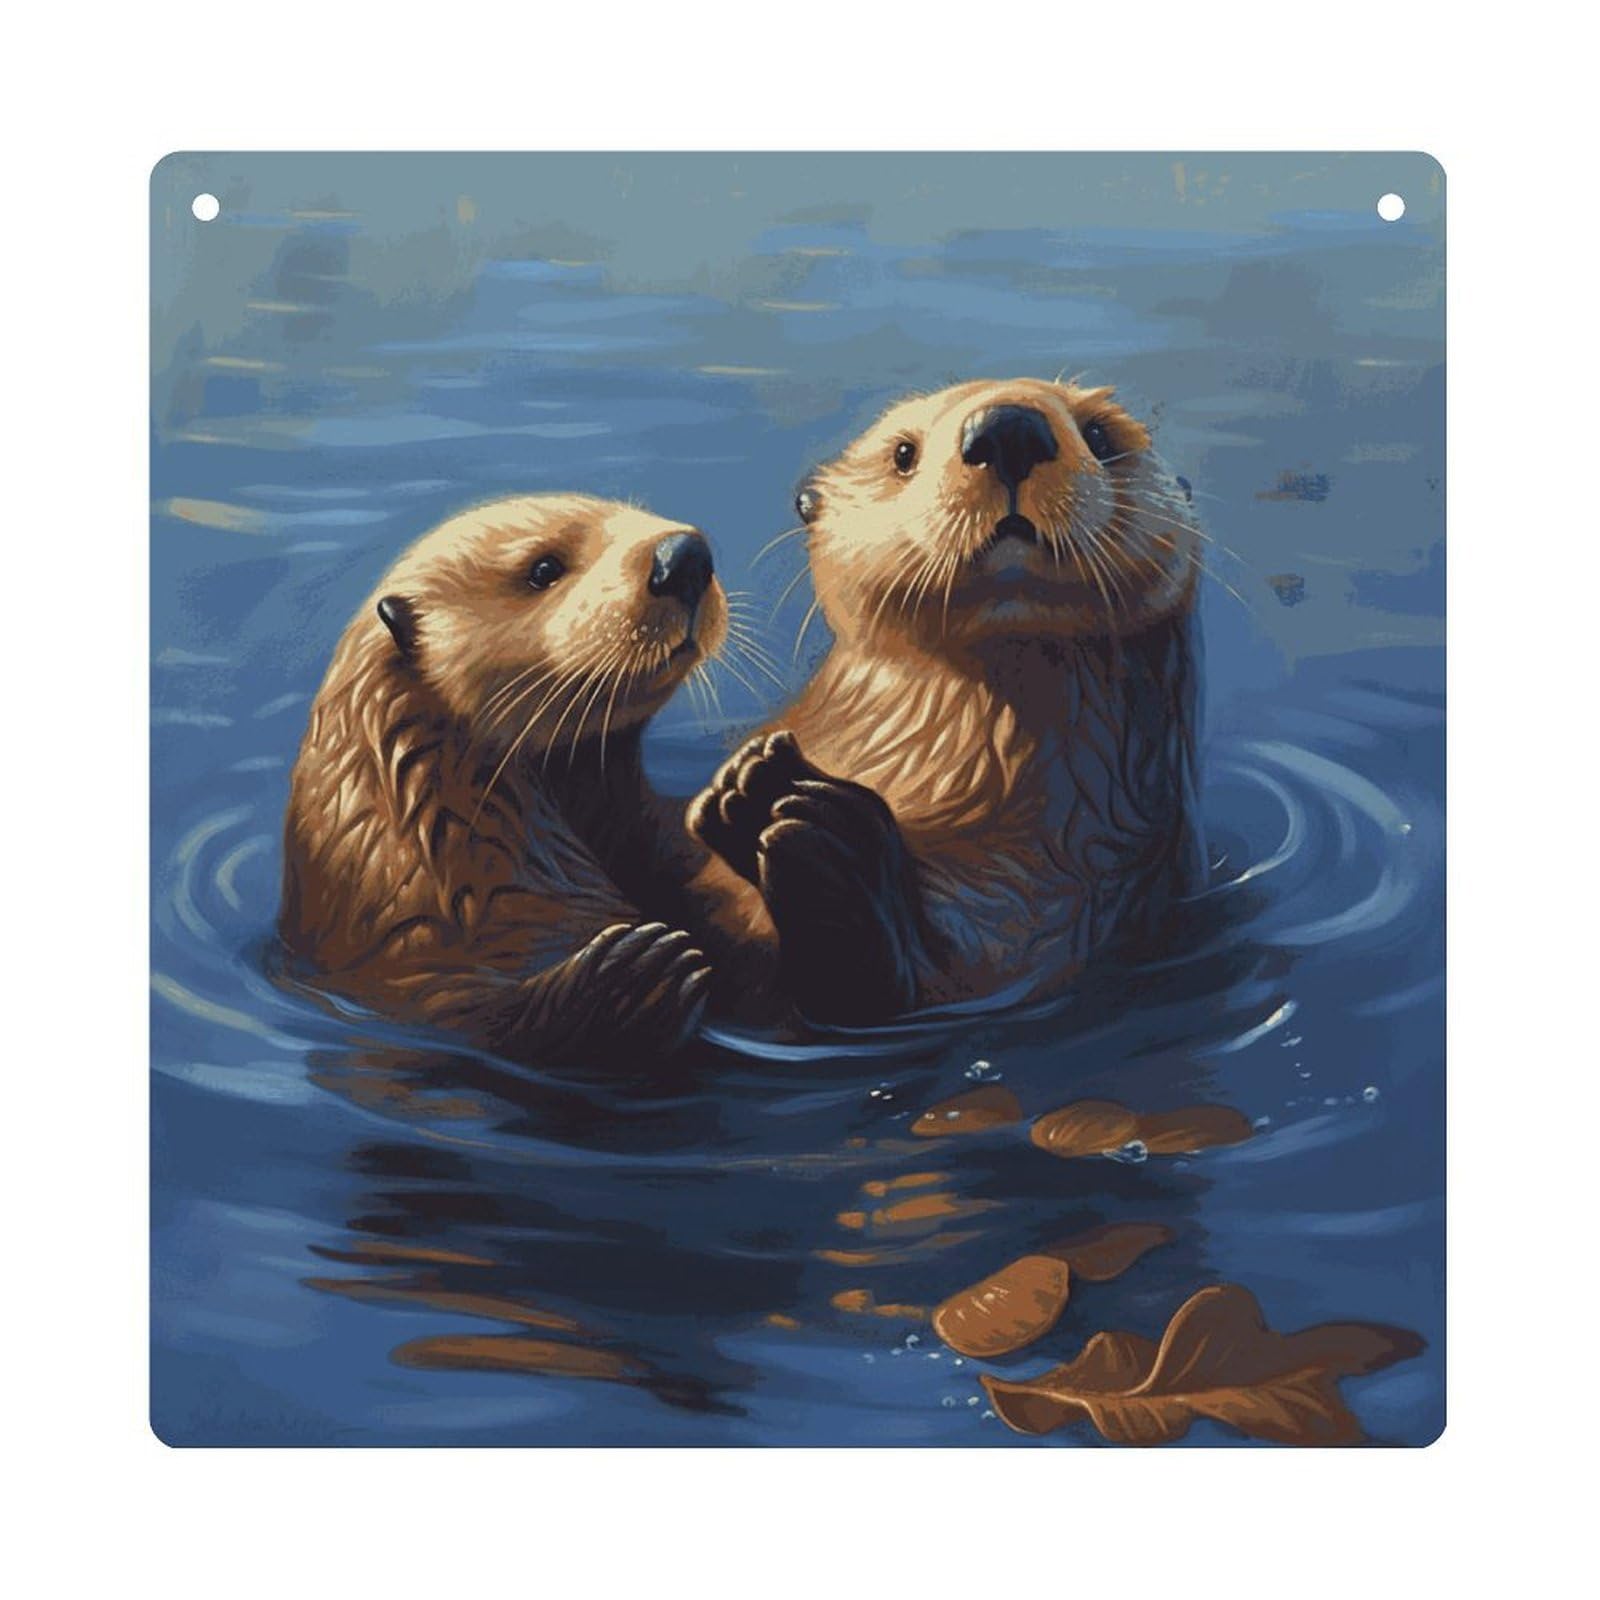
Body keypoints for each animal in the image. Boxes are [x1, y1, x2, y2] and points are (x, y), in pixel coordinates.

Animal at [688, 378, 1205, 1026]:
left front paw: (813, 826)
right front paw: (748, 786)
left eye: (1100, 435)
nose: (1007, 429)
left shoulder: (1063, 908)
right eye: (903, 453)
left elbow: (892, 992)